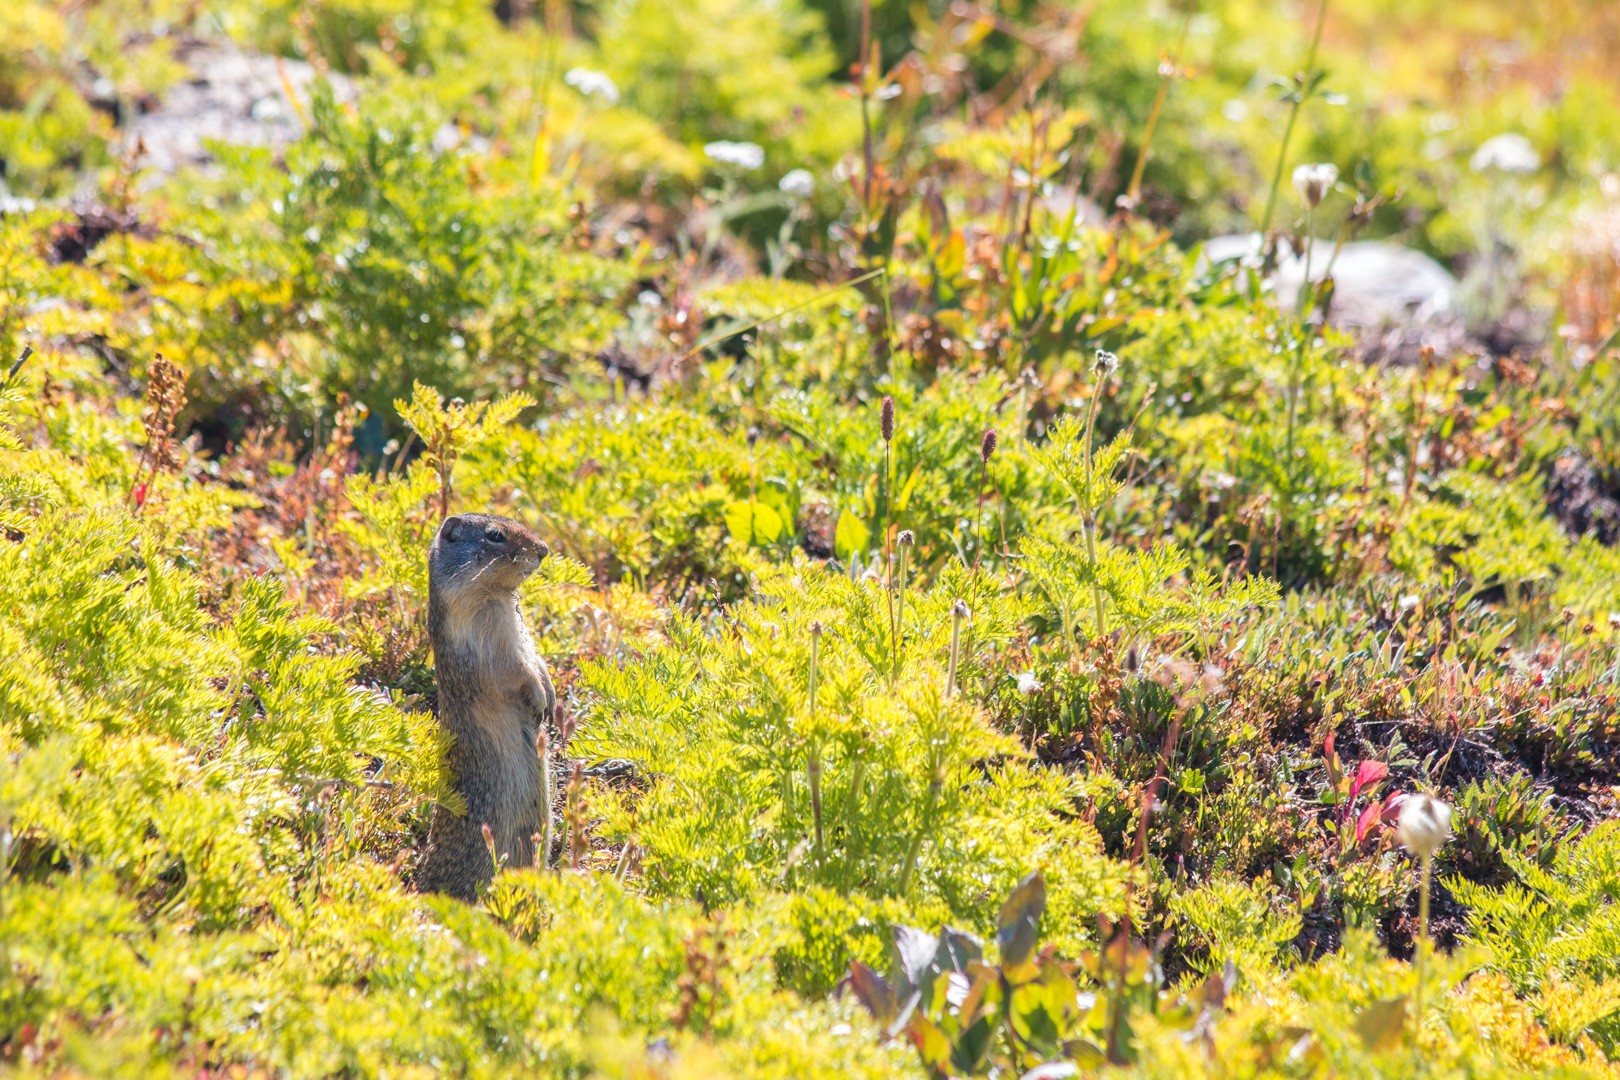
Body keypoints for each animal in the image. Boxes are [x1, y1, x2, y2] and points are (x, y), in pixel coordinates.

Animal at [416, 512, 556, 901]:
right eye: (495, 535)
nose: (544, 549)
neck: (497, 597)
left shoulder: (522, 634)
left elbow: (537, 659)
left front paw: (552, 699)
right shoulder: (494, 648)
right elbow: (519, 672)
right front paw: (540, 702)